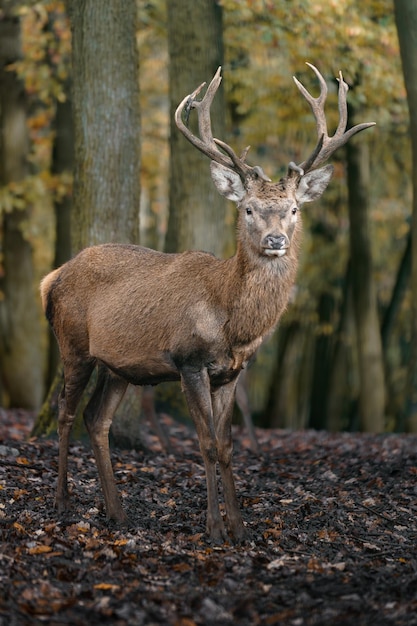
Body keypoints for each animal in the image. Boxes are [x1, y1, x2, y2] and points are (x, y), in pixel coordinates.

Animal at [40, 64, 374, 540]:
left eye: (293, 209)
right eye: (248, 209)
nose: (276, 240)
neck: (232, 322)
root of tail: (51, 278)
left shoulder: (232, 372)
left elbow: (229, 445)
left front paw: (240, 527)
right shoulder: (189, 360)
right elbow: (206, 444)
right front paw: (215, 527)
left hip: (118, 365)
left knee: (96, 419)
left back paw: (117, 511)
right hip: (72, 343)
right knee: (65, 415)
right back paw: (63, 501)